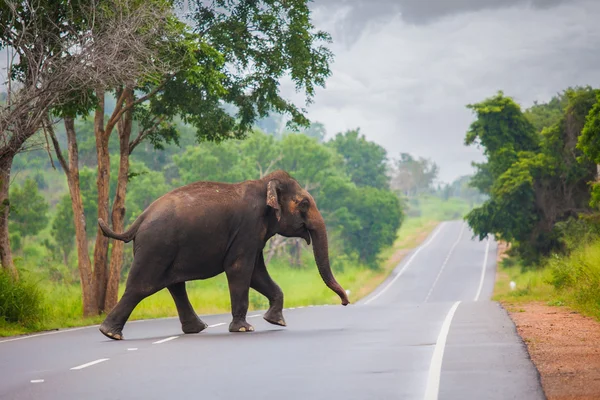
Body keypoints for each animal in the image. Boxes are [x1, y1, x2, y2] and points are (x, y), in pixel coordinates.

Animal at [96, 170, 350, 340]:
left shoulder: (253, 235)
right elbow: (240, 269)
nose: (345, 302)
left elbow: (256, 274)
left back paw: (196, 329)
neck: (263, 184)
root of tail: (140, 218)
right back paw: (110, 334)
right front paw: (244, 329)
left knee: (175, 286)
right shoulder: (248, 227)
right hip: (156, 246)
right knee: (142, 286)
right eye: (304, 203)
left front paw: (275, 321)